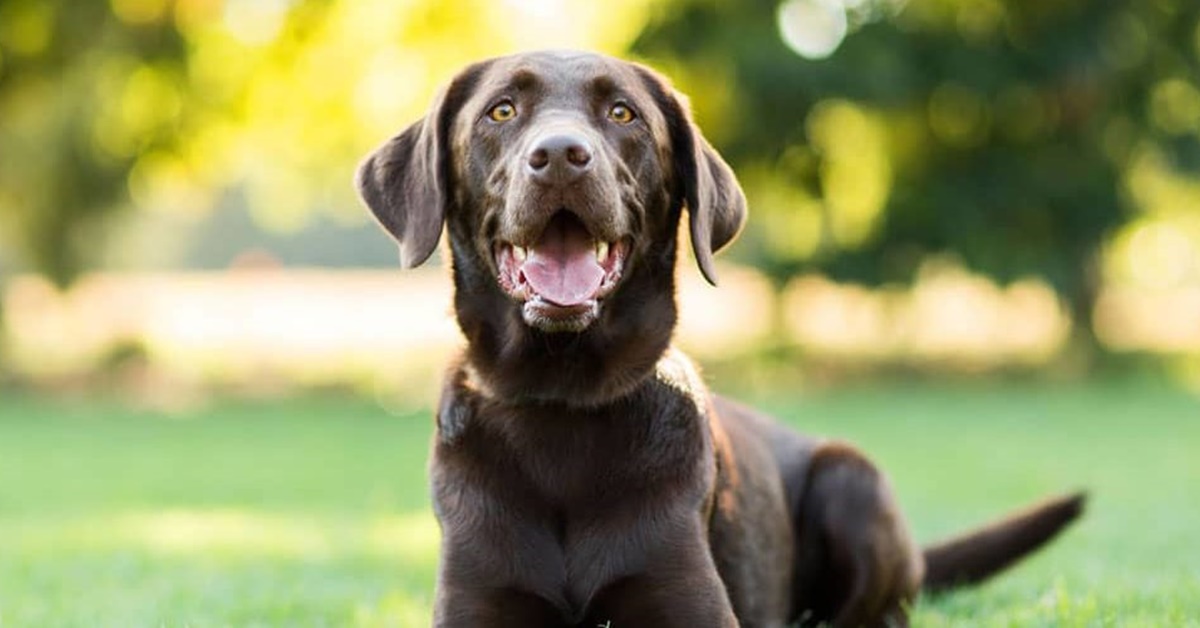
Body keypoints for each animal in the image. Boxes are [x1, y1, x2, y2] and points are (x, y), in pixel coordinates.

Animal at [357, 50, 1089, 628]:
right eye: (501, 111)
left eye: (622, 114)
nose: (561, 156)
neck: (561, 403)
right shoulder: (477, 602)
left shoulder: (688, 603)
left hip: (853, 481)